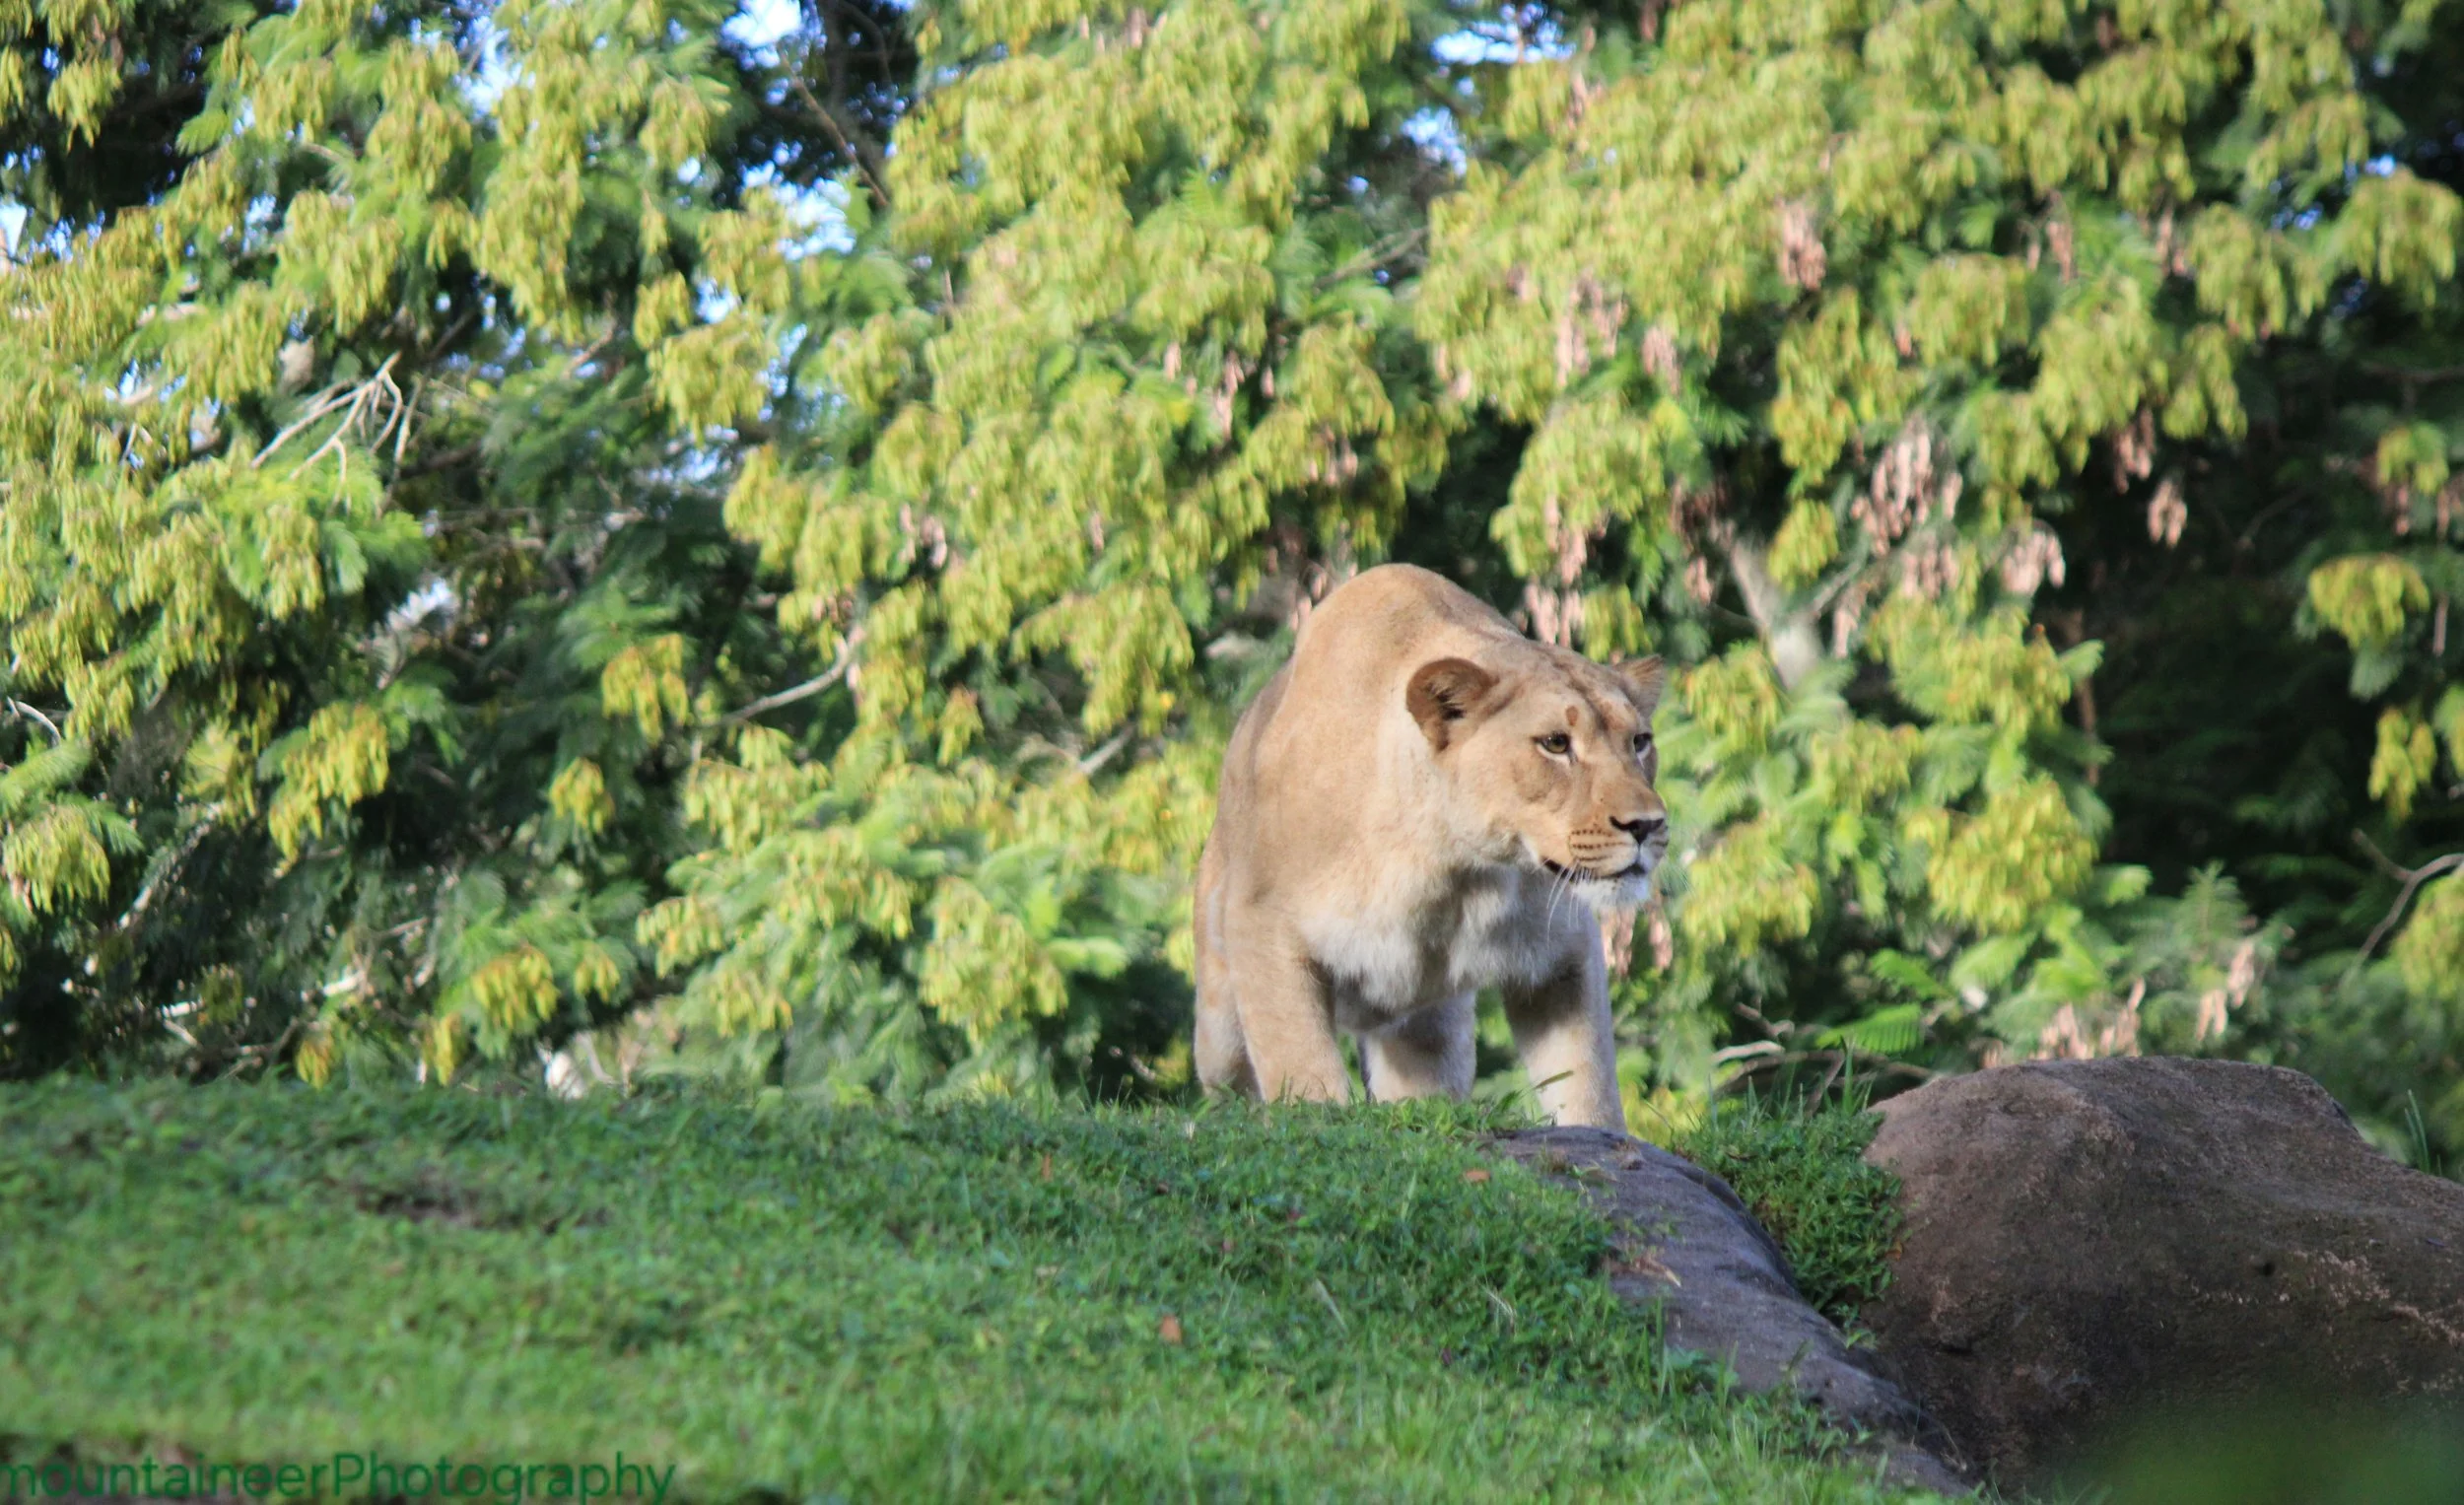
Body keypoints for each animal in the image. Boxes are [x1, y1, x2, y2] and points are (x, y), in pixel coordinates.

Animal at [1193, 563, 1667, 1130]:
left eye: (1639, 742)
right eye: (1555, 744)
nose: (1647, 826)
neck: (1453, 868)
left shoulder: (1564, 952)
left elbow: (1587, 1081)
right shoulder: (1262, 921)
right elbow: (1302, 1065)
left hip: (1432, 1034)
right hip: (1219, 1019)